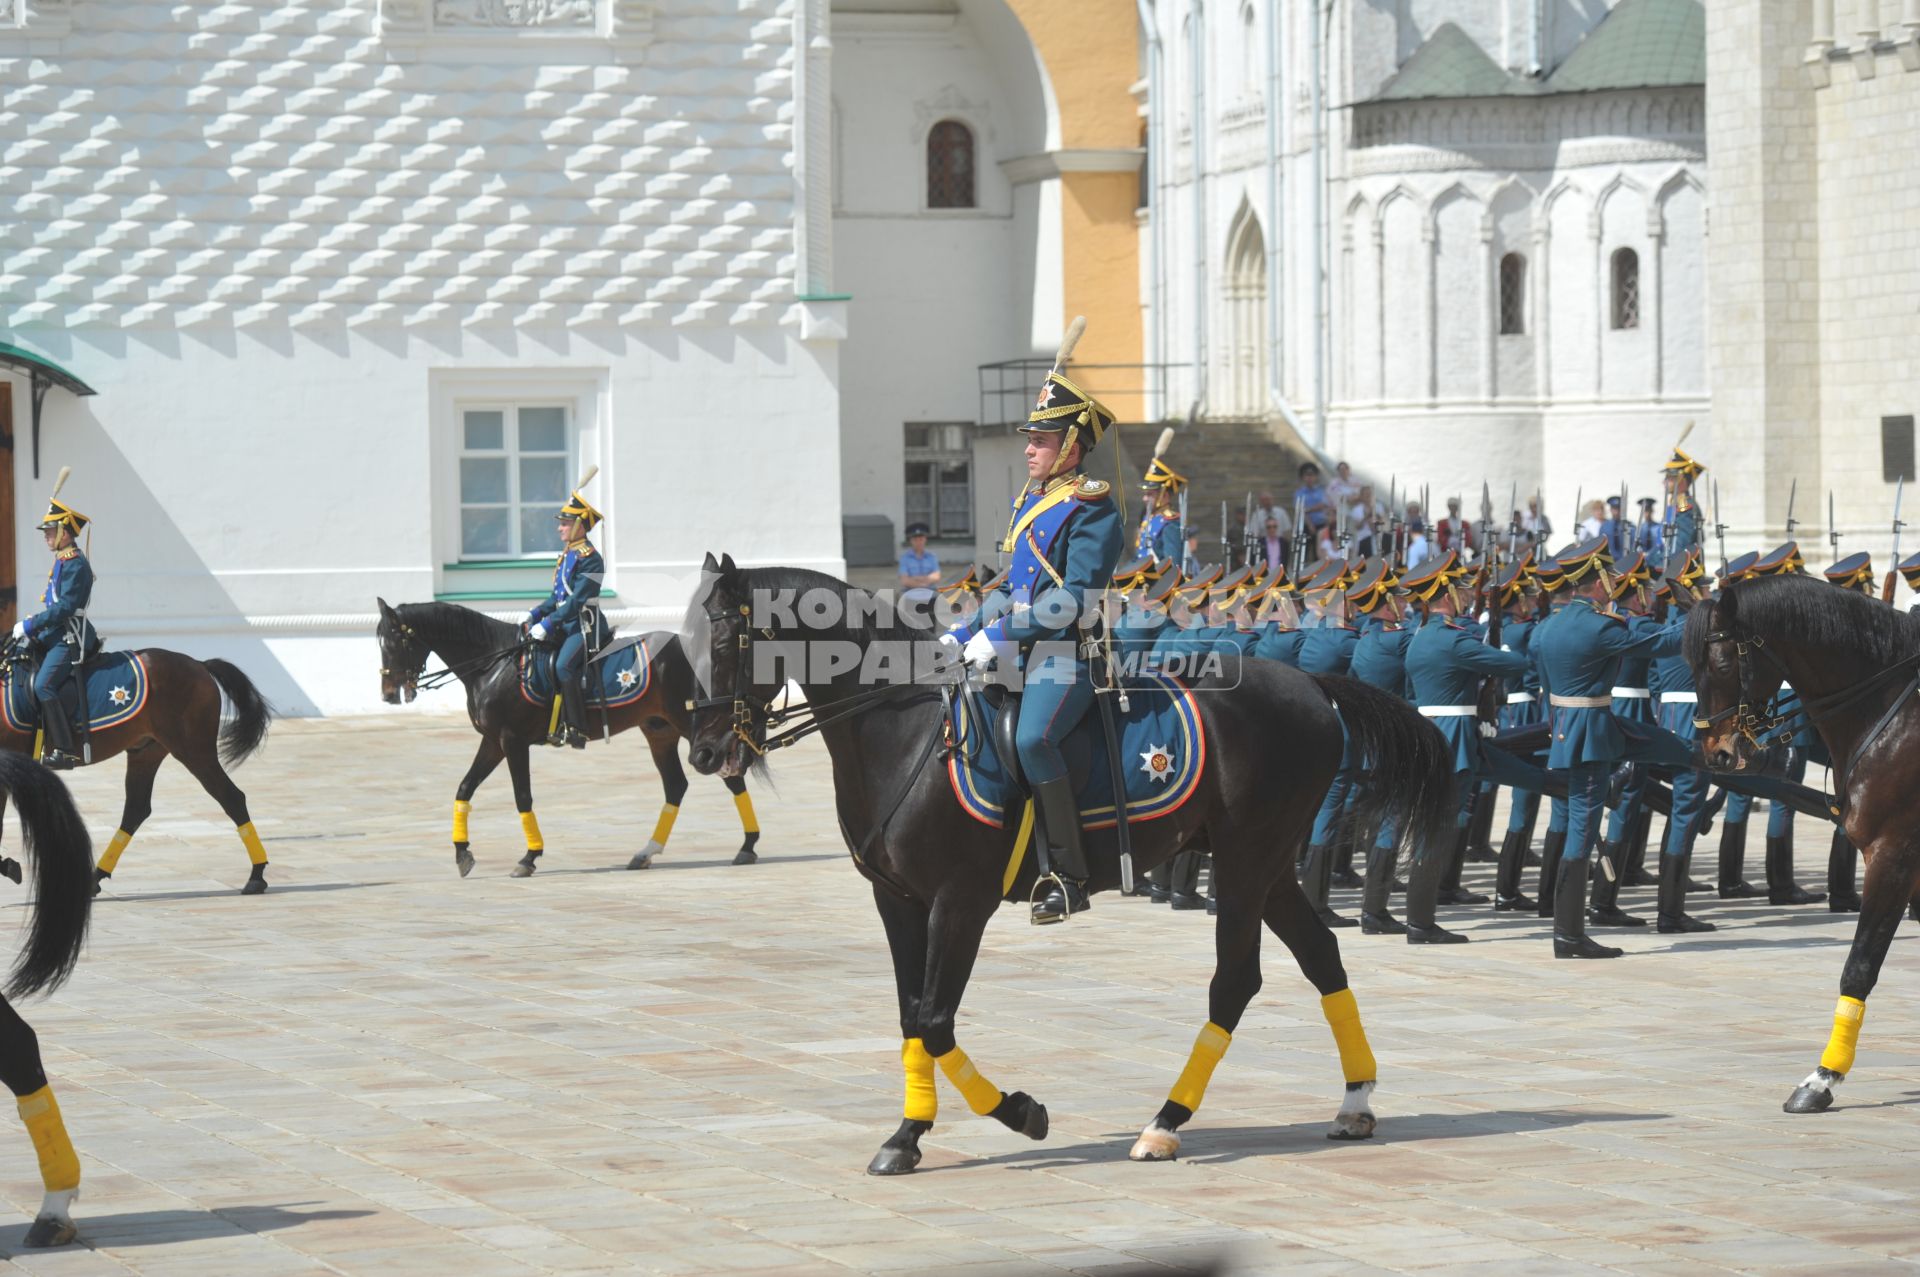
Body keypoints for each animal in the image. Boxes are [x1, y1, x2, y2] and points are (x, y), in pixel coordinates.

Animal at [0, 637, 274, 894]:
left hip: (195, 751)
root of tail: (199, 665)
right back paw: (96, 876)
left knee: (232, 798)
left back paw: (256, 876)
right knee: (136, 809)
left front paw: (8, 866)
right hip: (146, 753)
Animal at [374, 599, 764, 875]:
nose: (388, 694)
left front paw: (529, 856)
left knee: (731, 776)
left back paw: (747, 846)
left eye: (393, 642)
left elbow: (522, 796)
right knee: (676, 786)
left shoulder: (512, 741)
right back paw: (646, 852)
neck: (494, 665)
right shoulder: (492, 742)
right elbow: (464, 789)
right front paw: (462, 852)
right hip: (659, 731)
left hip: (695, 728)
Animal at [683, 556, 1443, 1175]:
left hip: (1245, 862)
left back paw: (1166, 1122)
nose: (704, 749)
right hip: (1266, 865)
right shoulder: (896, 898)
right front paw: (907, 1134)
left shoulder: (961, 900)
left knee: (1236, 980)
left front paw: (1019, 1112)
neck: (904, 729)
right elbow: (911, 1018)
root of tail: (1310, 685)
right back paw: (1355, 1102)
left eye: (722, 640)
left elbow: (936, 1018)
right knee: (1321, 957)